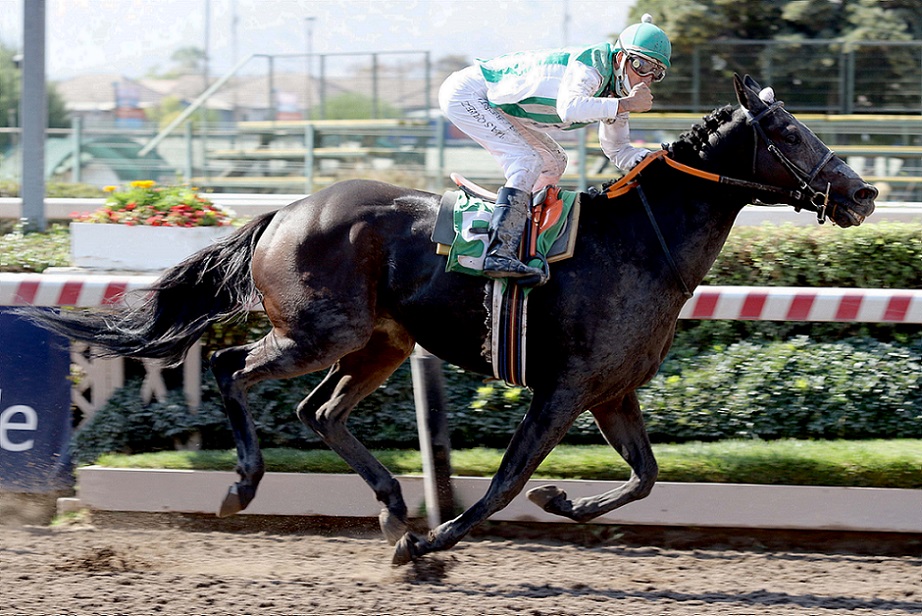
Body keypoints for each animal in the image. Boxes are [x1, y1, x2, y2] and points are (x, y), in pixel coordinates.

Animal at [25, 75, 876, 565]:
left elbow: (644, 478)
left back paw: (394, 511)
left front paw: (560, 503)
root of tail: (283, 212)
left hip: (379, 344)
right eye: (791, 133)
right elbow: (503, 483)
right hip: (319, 332)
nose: (864, 193)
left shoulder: (613, 393)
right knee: (238, 371)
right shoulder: (563, 390)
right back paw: (249, 489)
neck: (642, 244)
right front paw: (437, 543)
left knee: (319, 412)